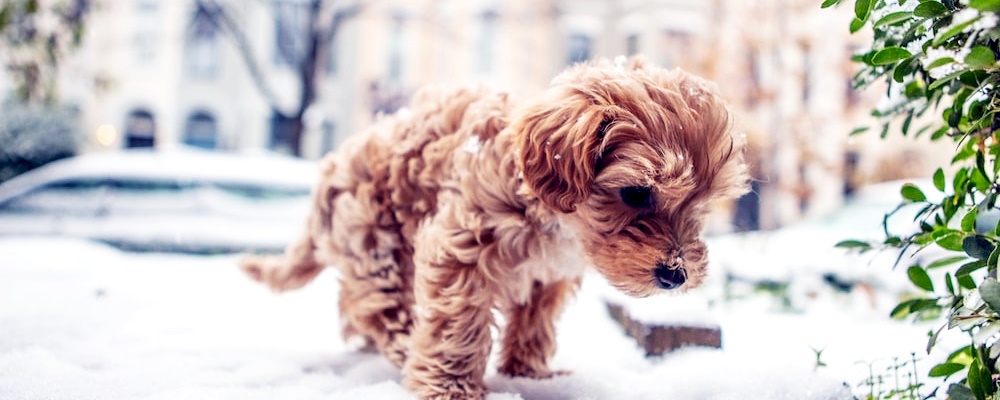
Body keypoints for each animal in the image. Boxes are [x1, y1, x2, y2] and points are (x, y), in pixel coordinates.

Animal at [242, 58, 752, 400]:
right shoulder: (461, 244)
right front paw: (450, 386)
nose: (676, 275)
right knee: (376, 304)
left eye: (700, 204)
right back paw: (405, 345)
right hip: (374, 238)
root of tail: (330, 170)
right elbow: (457, 322)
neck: (557, 222)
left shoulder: (550, 275)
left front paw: (529, 372)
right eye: (637, 193)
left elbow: (534, 321)